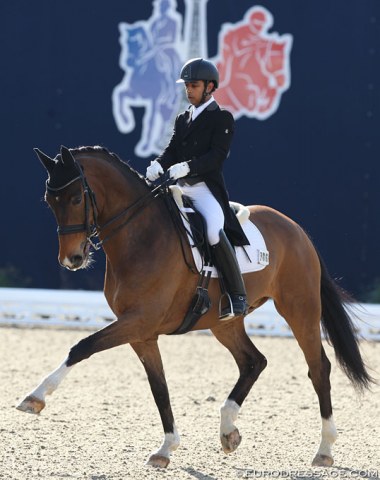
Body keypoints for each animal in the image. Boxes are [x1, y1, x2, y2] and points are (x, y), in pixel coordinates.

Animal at [17, 145, 372, 468]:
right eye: (50, 201)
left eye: (77, 199)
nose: (72, 259)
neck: (140, 236)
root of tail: (297, 229)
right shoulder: (142, 334)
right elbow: (158, 386)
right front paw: (166, 448)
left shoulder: (139, 321)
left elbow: (82, 346)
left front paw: (34, 398)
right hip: (224, 322)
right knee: (253, 362)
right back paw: (228, 430)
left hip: (300, 309)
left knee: (318, 368)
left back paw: (324, 450)